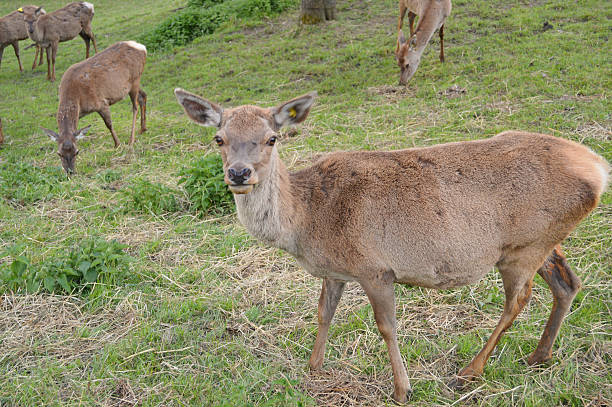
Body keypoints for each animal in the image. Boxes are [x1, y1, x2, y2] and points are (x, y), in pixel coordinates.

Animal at [42, 41, 147, 174]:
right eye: (59, 153)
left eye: (77, 152)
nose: (70, 172)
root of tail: (142, 47)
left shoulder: (101, 102)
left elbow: (109, 124)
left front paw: (117, 144)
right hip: (133, 84)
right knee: (143, 96)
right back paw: (143, 128)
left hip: (135, 79)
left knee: (135, 106)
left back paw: (131, 140)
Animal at [175, 89, 608, 404]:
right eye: (219, 138)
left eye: (271, 138)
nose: (239, 173)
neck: (308, 221)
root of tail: (598, 168)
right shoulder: (337, 270)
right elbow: (323, 314)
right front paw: (314, 368)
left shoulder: (375, 267)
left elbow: (387, 326)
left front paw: (402, 389)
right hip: (543, 240)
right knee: (567, 282)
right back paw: (539, 356)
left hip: (523, 246)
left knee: (519, 300)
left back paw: (470, 371)